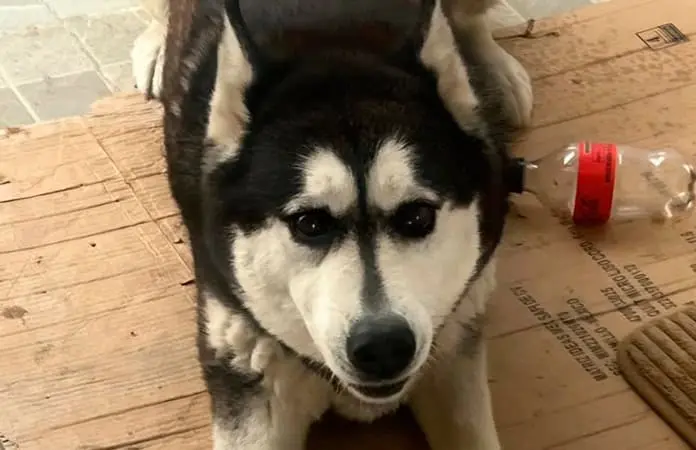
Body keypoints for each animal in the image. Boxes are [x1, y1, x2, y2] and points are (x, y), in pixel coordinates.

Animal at [130, 0, 533, 448]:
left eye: (416, 216)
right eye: (310, 223)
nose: (383, 347)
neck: (332, 36)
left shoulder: (455, 339)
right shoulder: (250, 370)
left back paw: (496, 72)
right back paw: (156, 46)